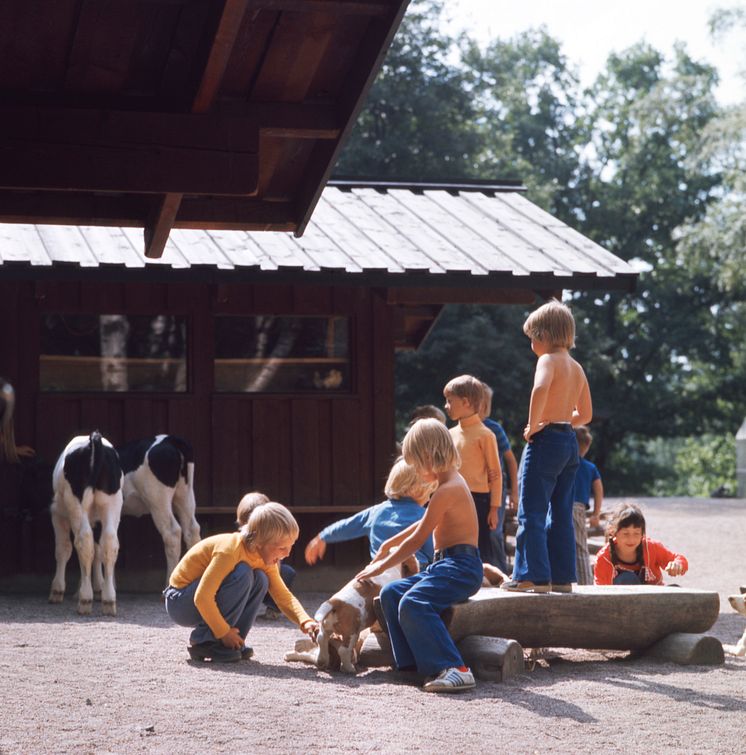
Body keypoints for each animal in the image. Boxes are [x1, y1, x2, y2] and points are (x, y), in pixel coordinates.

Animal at [49, 434, 123, 616]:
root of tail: (93, 439)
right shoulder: (96, 520)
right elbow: (98, 550)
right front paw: (99, 587)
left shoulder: (57, 514)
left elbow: (63, 549)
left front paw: (57, 590)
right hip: (112, 504)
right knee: (109, 543)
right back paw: (108, 599)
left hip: (76, 505)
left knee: (84, 541)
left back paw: (85, 599)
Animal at [284, 556, 416, 672]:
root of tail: (334, 602)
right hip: (352, 634)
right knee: (343, 650)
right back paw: (349, 669)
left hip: (327, 628)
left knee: (321, 639)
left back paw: (322, 660)